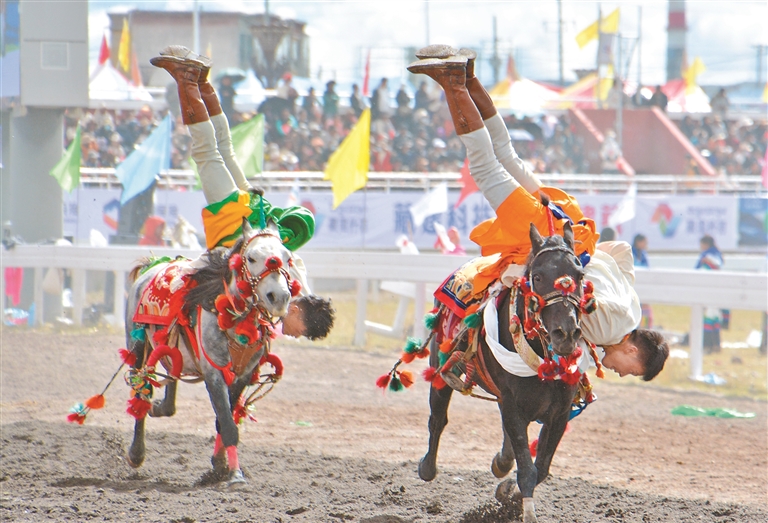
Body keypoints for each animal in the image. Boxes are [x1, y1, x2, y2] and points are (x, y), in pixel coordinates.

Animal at [124, 219, 297, 487]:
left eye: (287, 258)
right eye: (252, 258)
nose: (279, 297)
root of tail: (152, 265)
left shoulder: (242, 375)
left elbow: (223, 421)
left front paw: (220, 466)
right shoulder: (214, 373)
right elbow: (227, 423)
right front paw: (235, 475)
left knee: (169, 383)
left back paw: (159, 407)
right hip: (138, 346)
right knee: (141, 391)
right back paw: (136, 452)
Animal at [418, 223, 591, 523]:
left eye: (580, 275)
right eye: (538, 276)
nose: (566, 333)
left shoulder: (559, 412)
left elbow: (541, 467)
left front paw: (508, 493)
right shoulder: (511, 403)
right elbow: (528, 468)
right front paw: (526, 511)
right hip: (440, 368)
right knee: (437, 418)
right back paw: (427, 467)